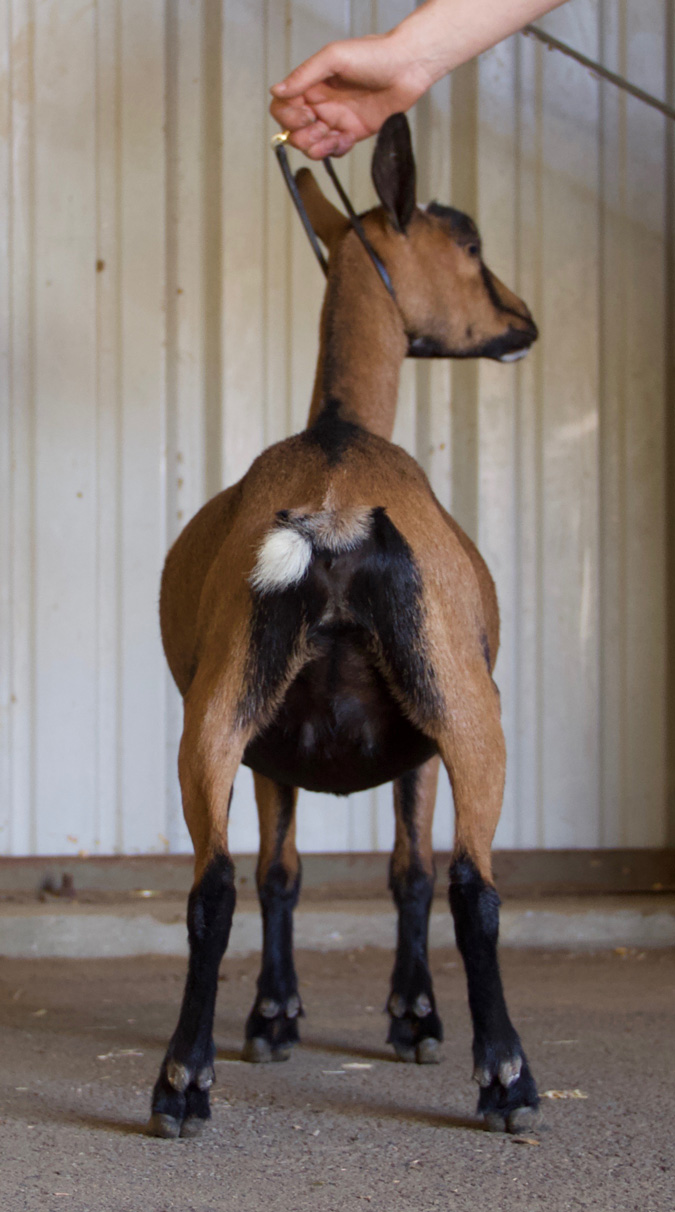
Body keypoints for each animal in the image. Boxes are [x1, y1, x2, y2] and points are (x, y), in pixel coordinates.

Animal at [150, 113, 540, 1134]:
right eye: (466, 243)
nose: (521, 320)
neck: (341, 427)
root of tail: (331, 519)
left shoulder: (267, 749)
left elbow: (282, 873)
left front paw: (274, 1018)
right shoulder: (422, 744)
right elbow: (408, 873)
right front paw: (412, 1017)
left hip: (218, 707)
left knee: (213, 883)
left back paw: (181, 1084)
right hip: (467, 708)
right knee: (473, 884)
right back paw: (507, 1080)